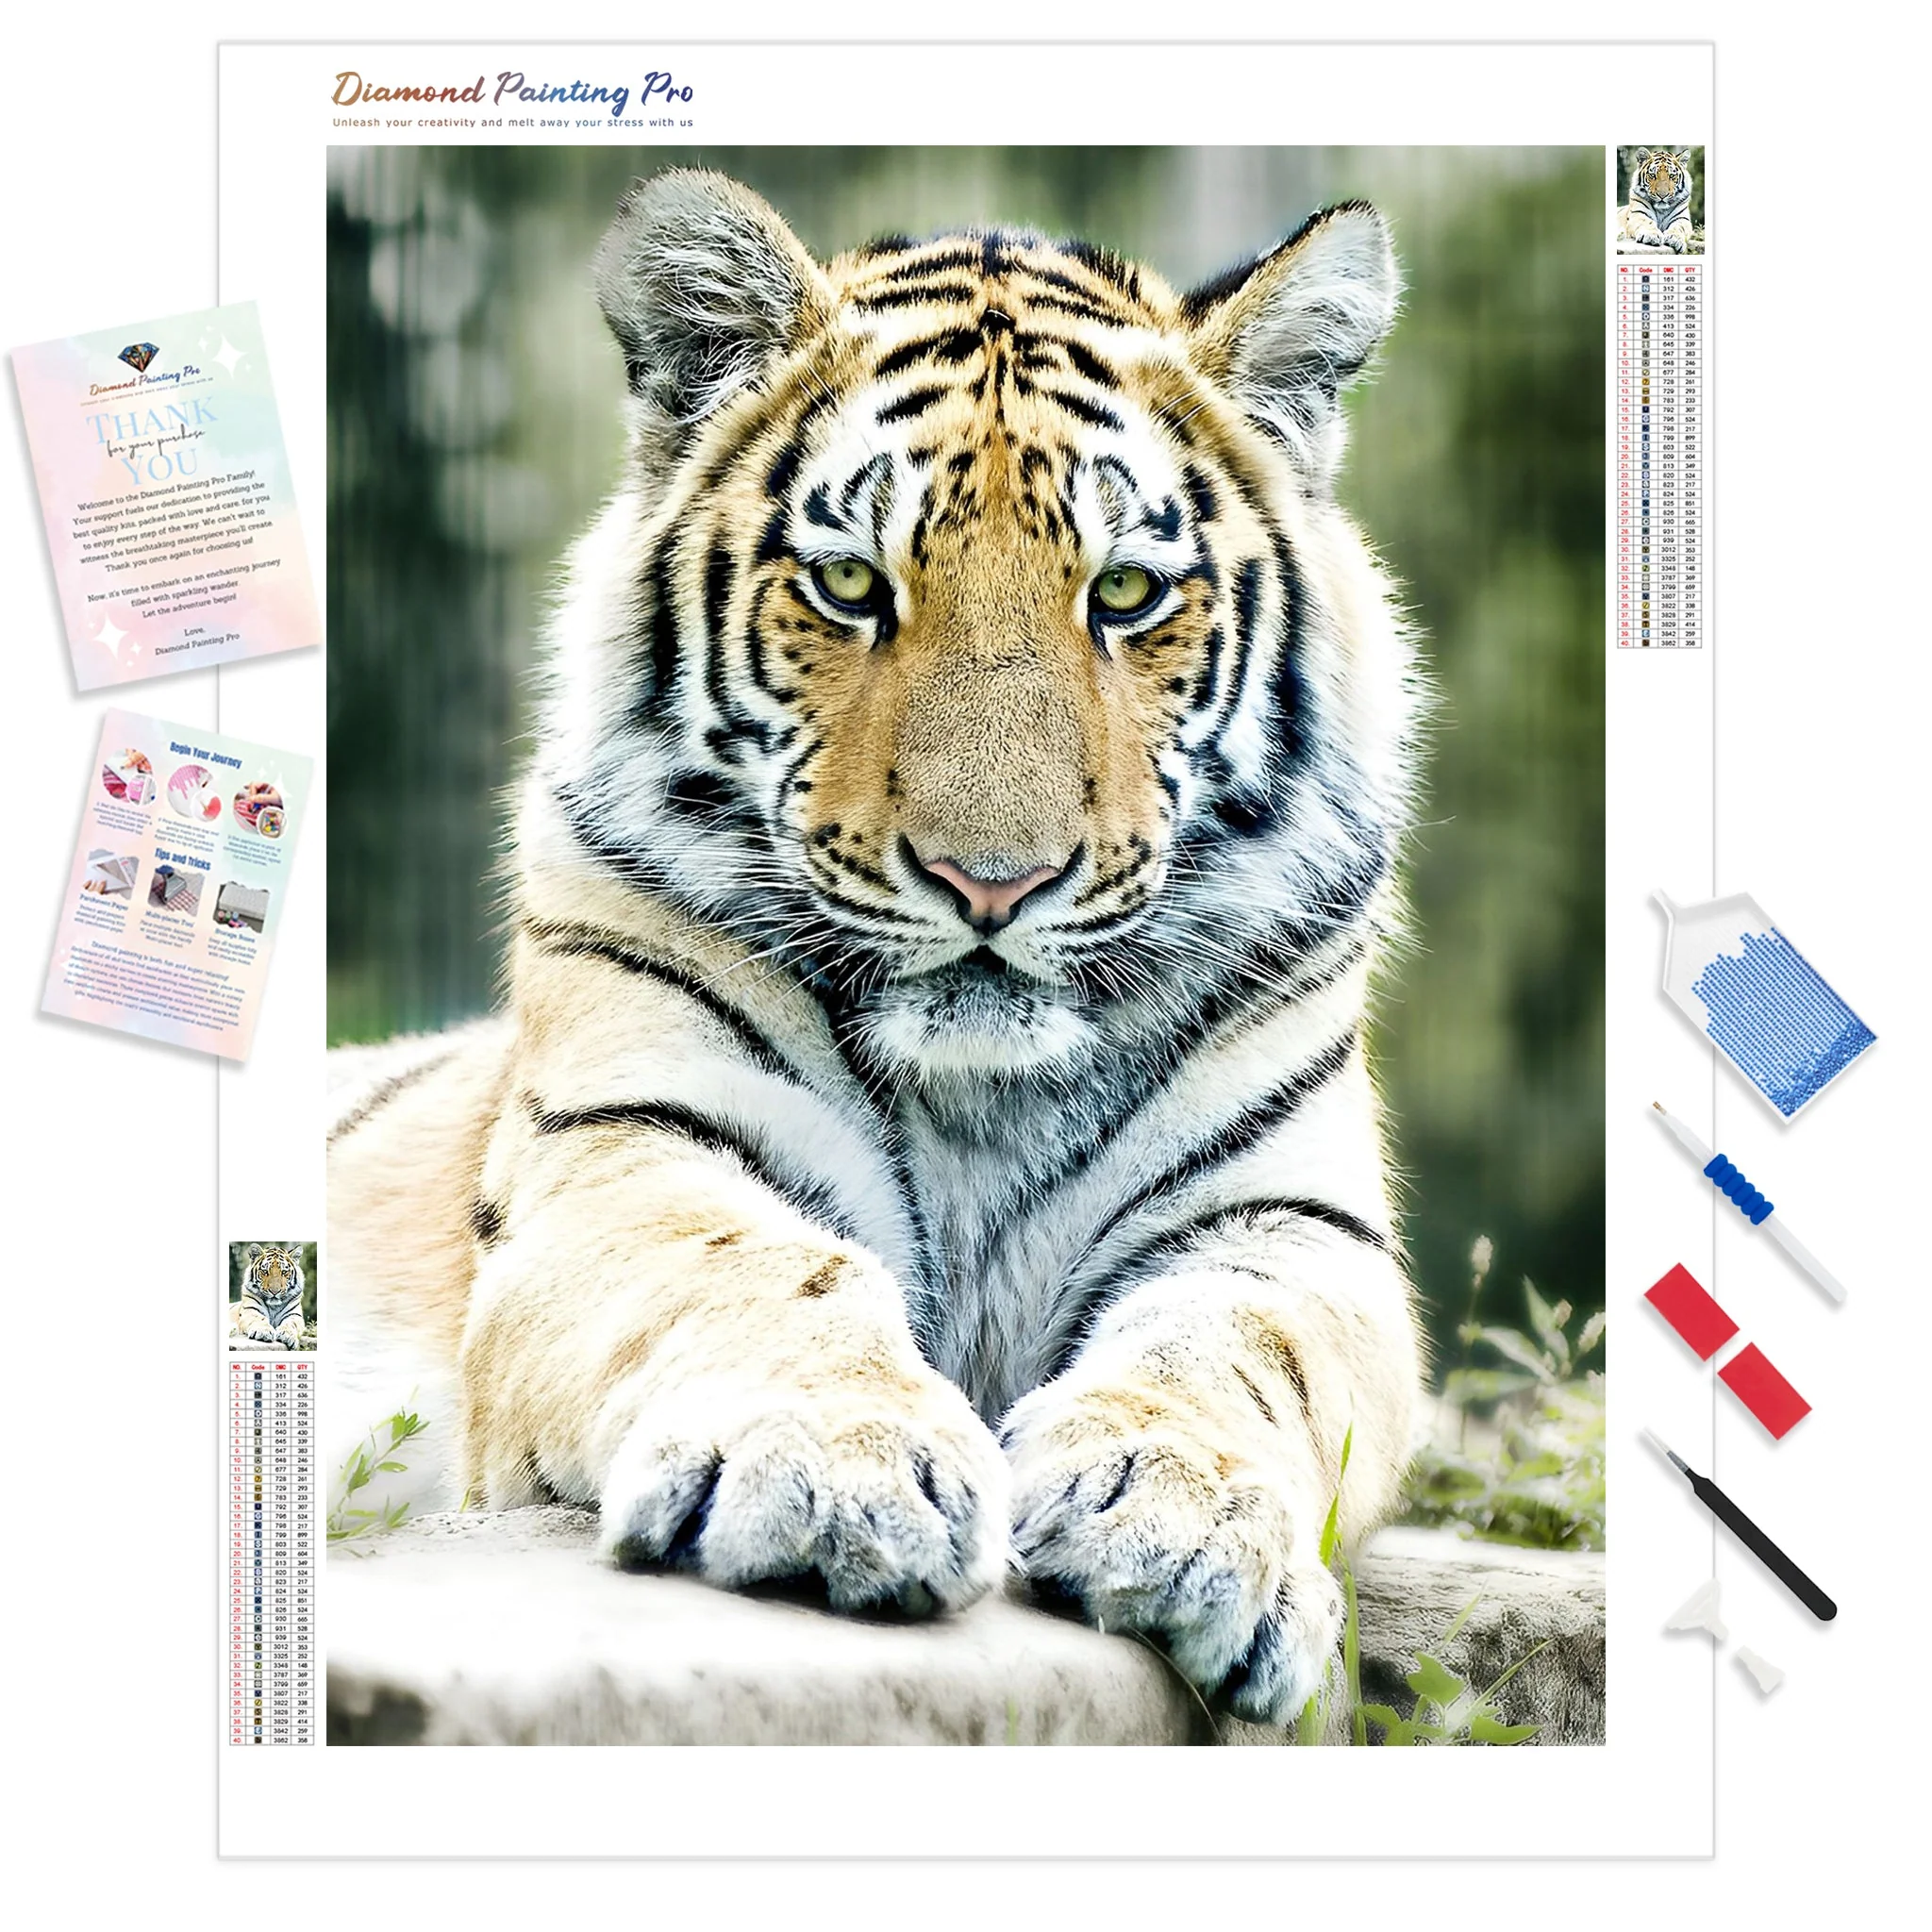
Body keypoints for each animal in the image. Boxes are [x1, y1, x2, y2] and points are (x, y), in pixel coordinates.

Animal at [327, 169, 1426, 1727]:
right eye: (852, 585)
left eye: (1127, 596)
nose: (993, 882)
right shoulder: (627, 1148)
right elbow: (756, 1269)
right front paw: (829, 1473)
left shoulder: (1289, 1227)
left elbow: (1234, 1349)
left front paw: (1177, 1517)